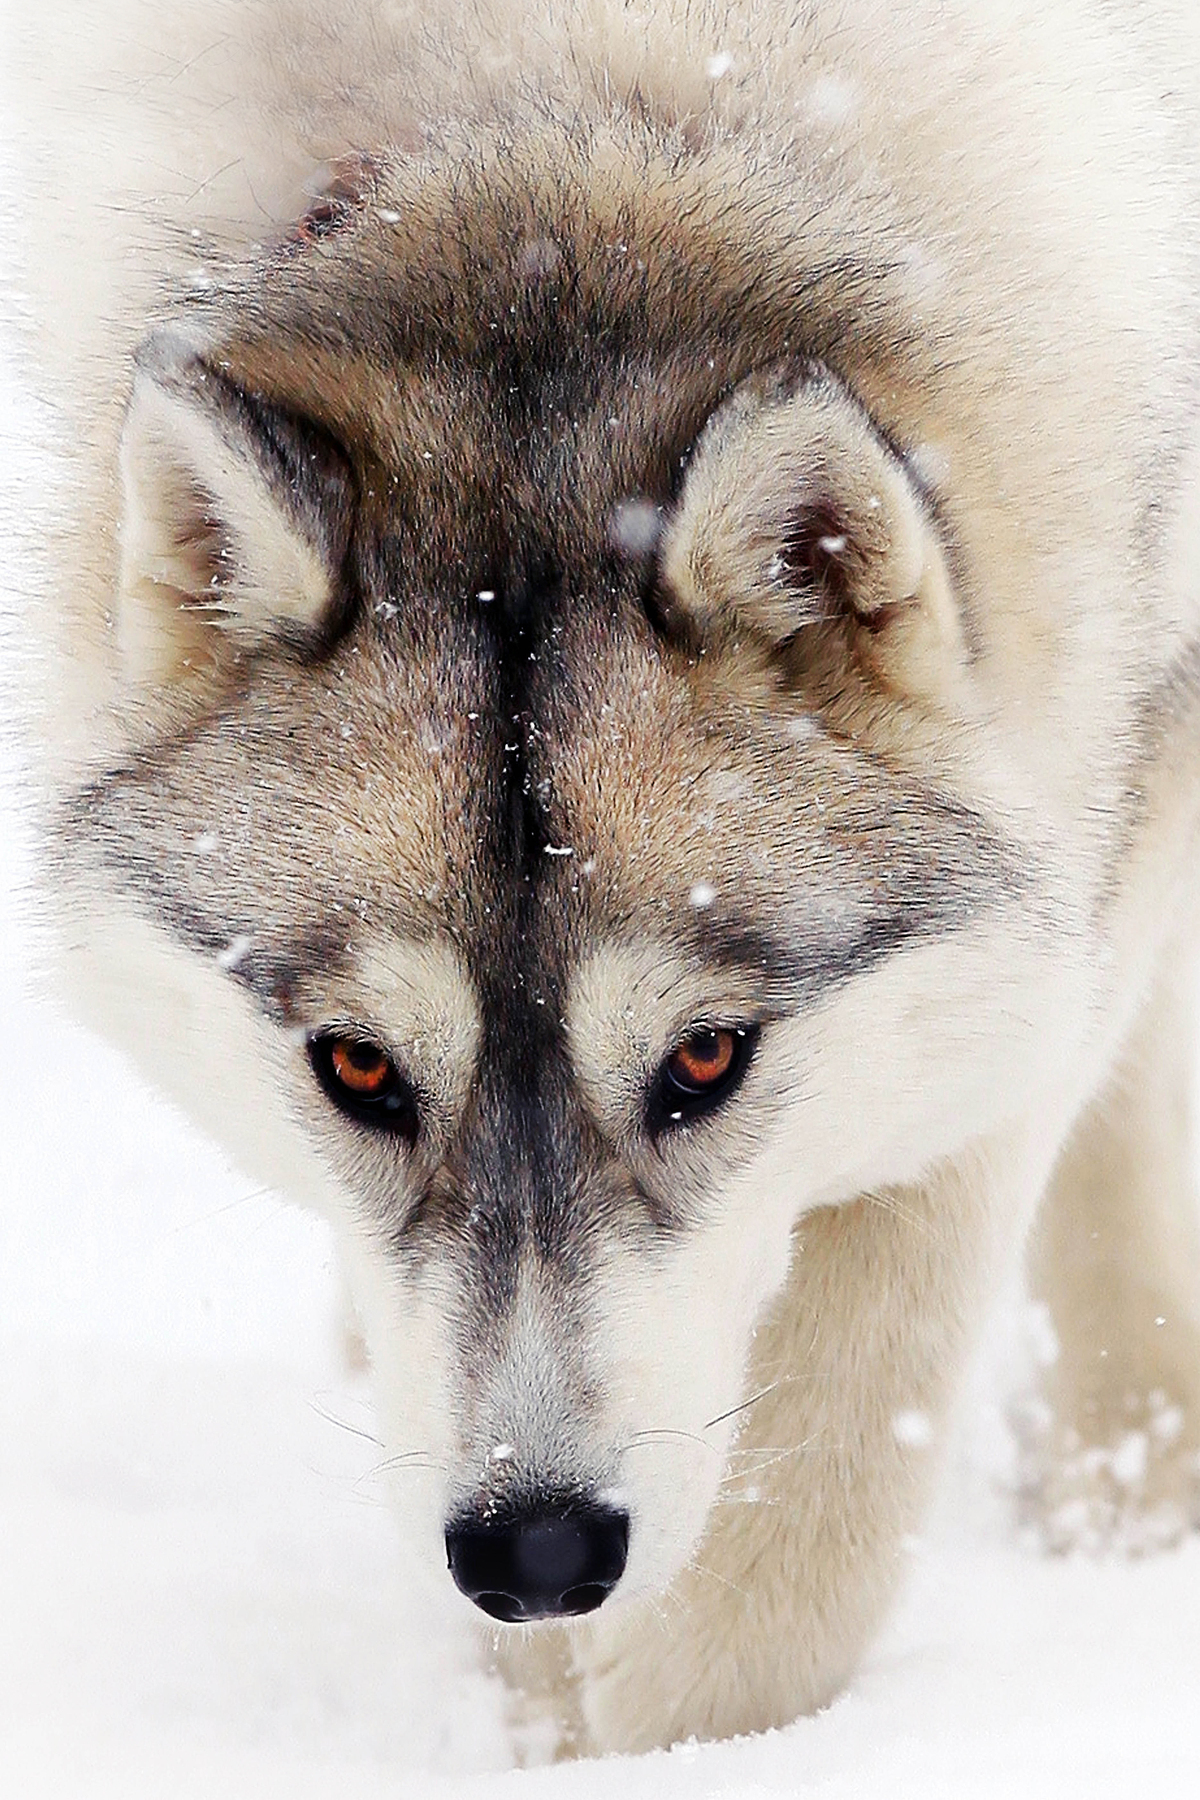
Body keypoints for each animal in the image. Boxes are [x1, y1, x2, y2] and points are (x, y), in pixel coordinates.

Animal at [7, 0, 1200, 1756]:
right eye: (356, 1069)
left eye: (706, 1058)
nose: (539, 1551)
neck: (586, 126)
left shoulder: (1067, 842)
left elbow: (807, 1530)